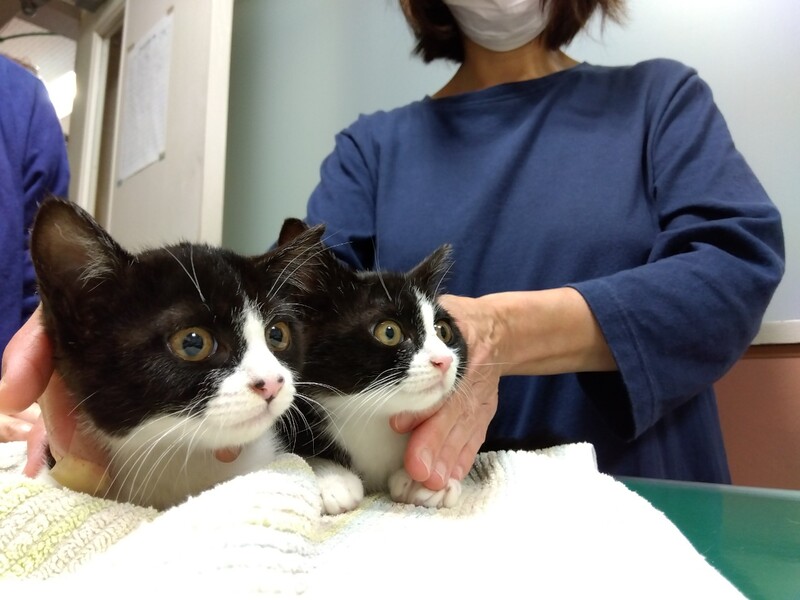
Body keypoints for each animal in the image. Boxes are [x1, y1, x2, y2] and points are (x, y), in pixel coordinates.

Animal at [279, 219, 468, 515]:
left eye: (443, 331)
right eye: (389, 332)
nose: (444, 360)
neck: (369, 416)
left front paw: (425, 481)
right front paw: (332, 478)